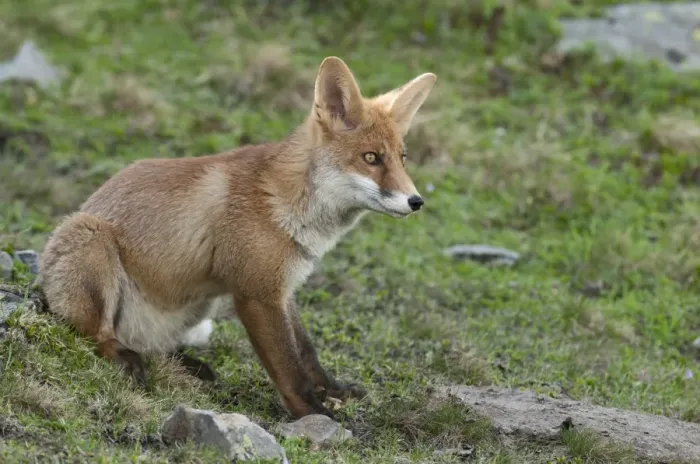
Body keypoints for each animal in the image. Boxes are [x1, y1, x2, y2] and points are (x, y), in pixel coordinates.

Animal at [37, 56, 436, 419]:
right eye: (371, 158)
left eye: (401, 158)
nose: (416, 201)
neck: (287, 203)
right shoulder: (256, 294)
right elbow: (287, 367)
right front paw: (315, 414)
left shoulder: (282, 287)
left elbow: (306, 351)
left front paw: (332, 390)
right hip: (92, 239)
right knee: (96, 333)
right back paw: (126, 358)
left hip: (197, 305)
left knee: (157, 348)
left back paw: (186, 364)